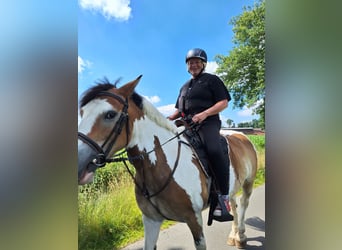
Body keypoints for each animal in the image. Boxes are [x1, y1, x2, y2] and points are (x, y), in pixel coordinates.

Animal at [78, 75, 256, 249]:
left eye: (110, 114)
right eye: (82, 113)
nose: (79, 164)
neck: (160, 167)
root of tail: (242, 136)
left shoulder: (194, 219)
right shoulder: (151, 220)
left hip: (248, 183)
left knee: (244, 203)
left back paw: (240, 236)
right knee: (233, 203)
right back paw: (233, 235)